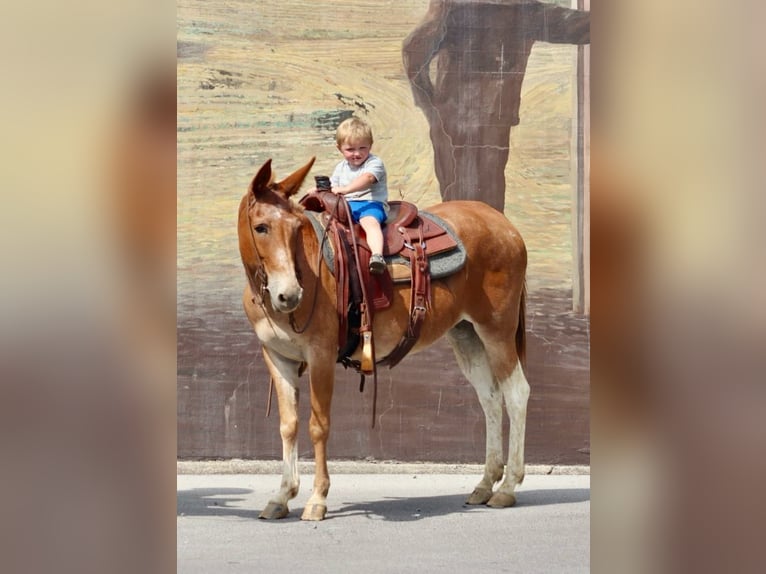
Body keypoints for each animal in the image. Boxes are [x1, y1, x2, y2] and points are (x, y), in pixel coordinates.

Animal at [238, 157, 530, 521]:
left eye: (295, 227)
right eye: (261, 227)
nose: (289, 295)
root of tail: (504, 225)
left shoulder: (320, 356)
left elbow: (318, 425)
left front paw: (317, 499)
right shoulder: (278, 357)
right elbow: (288, 425)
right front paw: (281, 496)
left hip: (497, 330)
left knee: (516, 394)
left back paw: (507, 487)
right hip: (467, 335)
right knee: (490, 398)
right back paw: (485, 484)